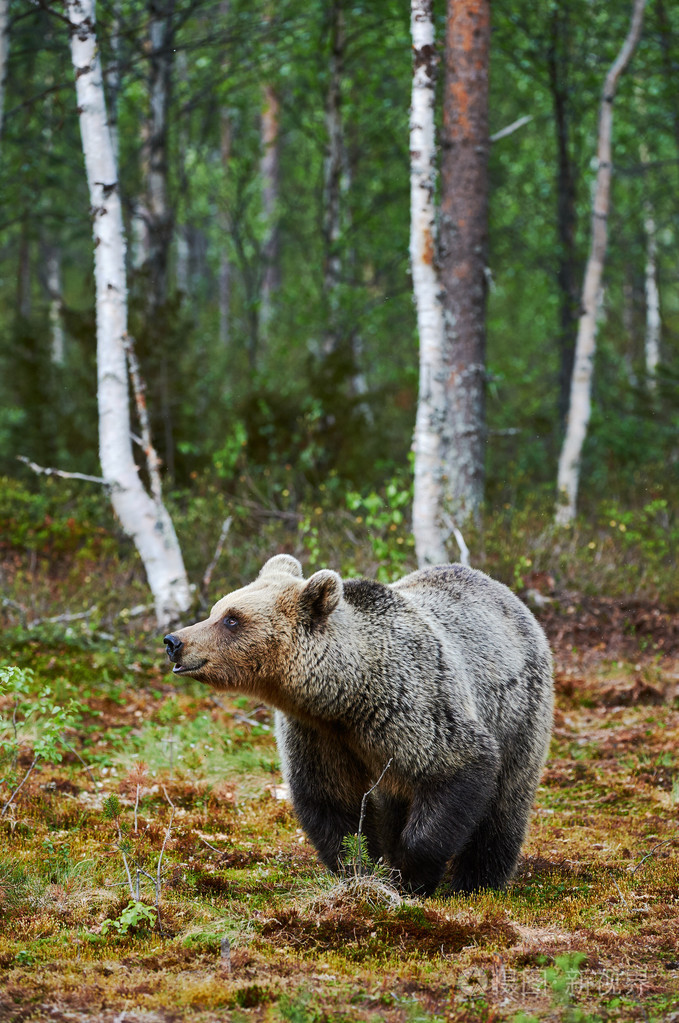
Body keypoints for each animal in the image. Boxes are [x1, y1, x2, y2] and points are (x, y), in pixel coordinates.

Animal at [164, 554, 553, 896]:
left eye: (232, 619)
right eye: (217, 610)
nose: (174, 641)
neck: (346, 695)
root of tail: (506, 593)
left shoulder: (414, 705)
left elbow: (458, 766)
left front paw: (413, 875)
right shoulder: (317, 733)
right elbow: (331, 800)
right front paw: (362, 868)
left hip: (518, 712)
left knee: (505, 804)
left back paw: (478, 882)